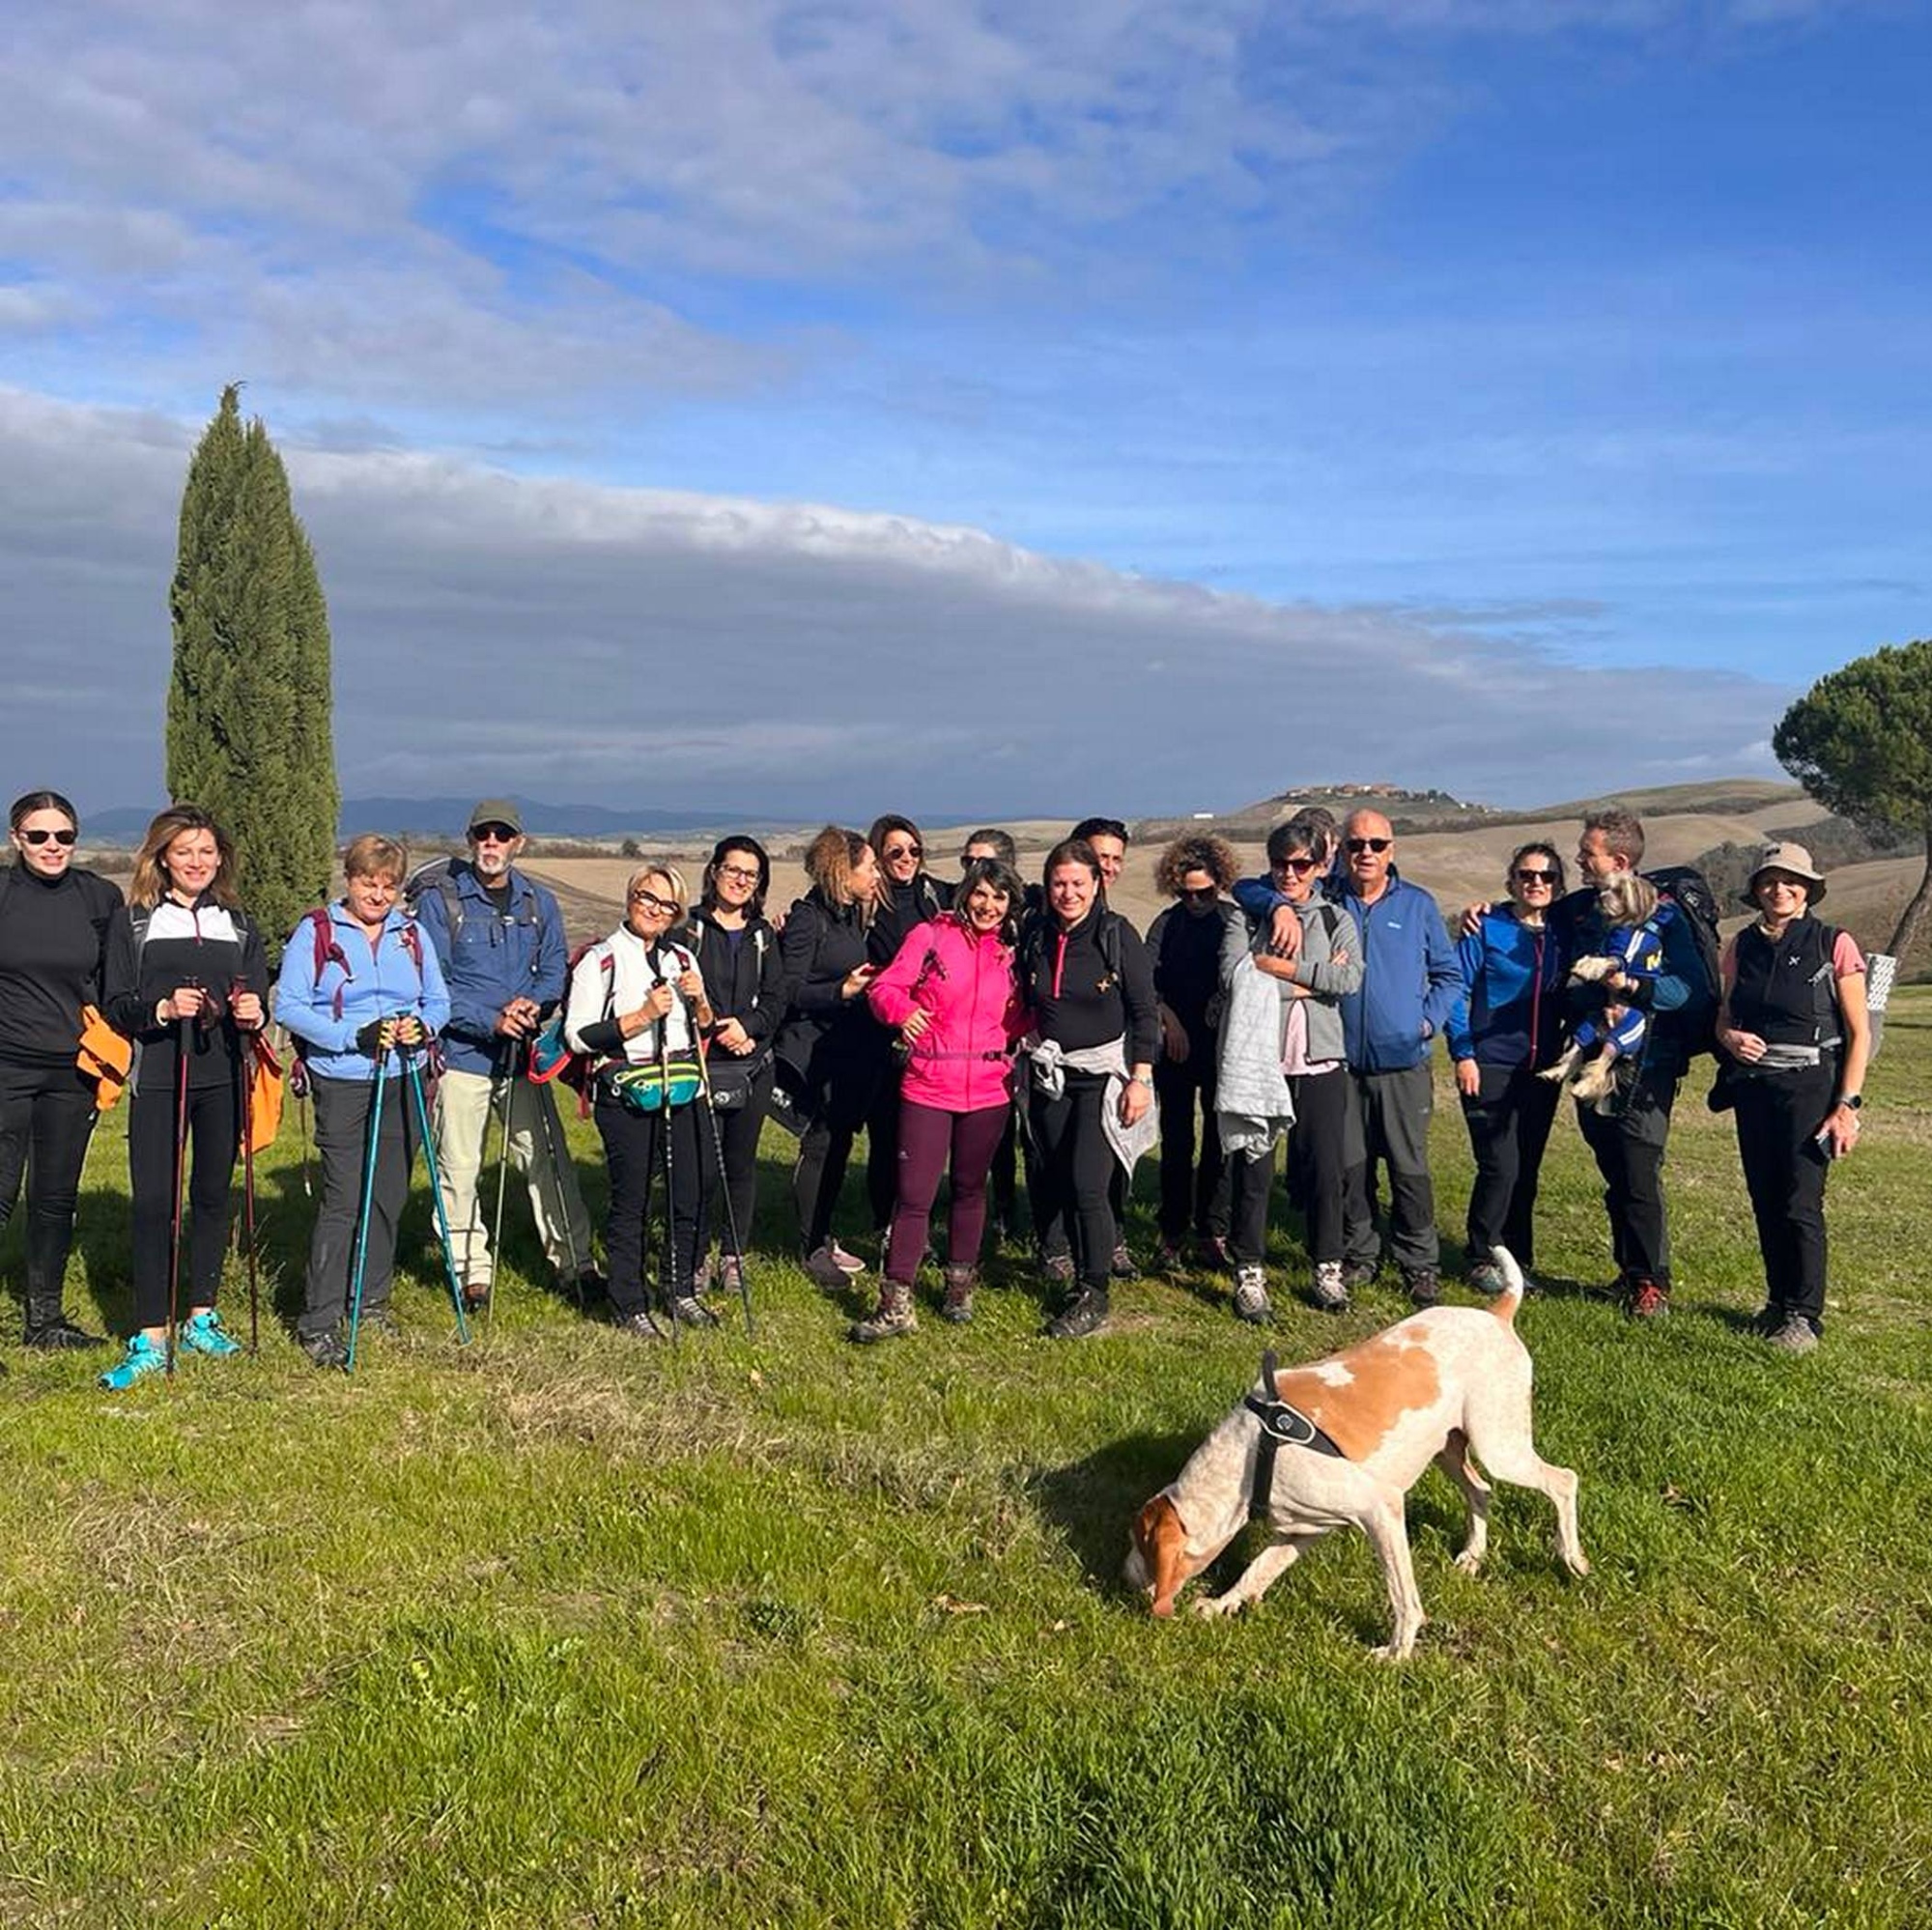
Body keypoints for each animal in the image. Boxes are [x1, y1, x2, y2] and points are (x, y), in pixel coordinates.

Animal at [1121, 1252, 1584, 1661]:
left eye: (1140, 1546)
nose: (1124, 1579)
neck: (1252, 1457)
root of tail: (1497, 1313)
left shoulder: (1381, 1508)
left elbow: (1402, 1594)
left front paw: (1397, 1651)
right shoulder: (1305, 1528)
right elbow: (1260, 1567)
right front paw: (1223, 1604)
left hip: (1500, 1446)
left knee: (1564, 1480)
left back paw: (1572, 1559)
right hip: (1448, 1451)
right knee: (1481, 1490)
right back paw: (1473, 1555)